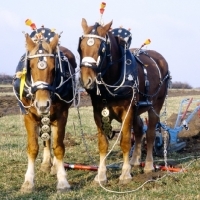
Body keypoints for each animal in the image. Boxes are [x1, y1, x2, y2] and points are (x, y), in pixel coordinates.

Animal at [12, 27, 76, 193]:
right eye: (31, 67)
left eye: (54, 68)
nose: (42, 104)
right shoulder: (29, 116)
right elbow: (33, 148)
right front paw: (28, 182)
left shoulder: (61, 115)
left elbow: (58, 147)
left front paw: (62, 181)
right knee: (46, 138)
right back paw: (47, 163)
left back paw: (53, 166)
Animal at [78, 18, 170, 184]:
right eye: (80, 47)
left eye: (101, 49)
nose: (86, 80)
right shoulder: (98, 112)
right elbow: (103, 144)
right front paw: (101, 175)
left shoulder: (127, 111)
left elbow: (125, 141)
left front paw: (125, 173)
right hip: (137, 110)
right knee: (139, 129)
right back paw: (135, 161)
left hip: (155, 105)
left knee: (150, 133)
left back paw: (148, 165)